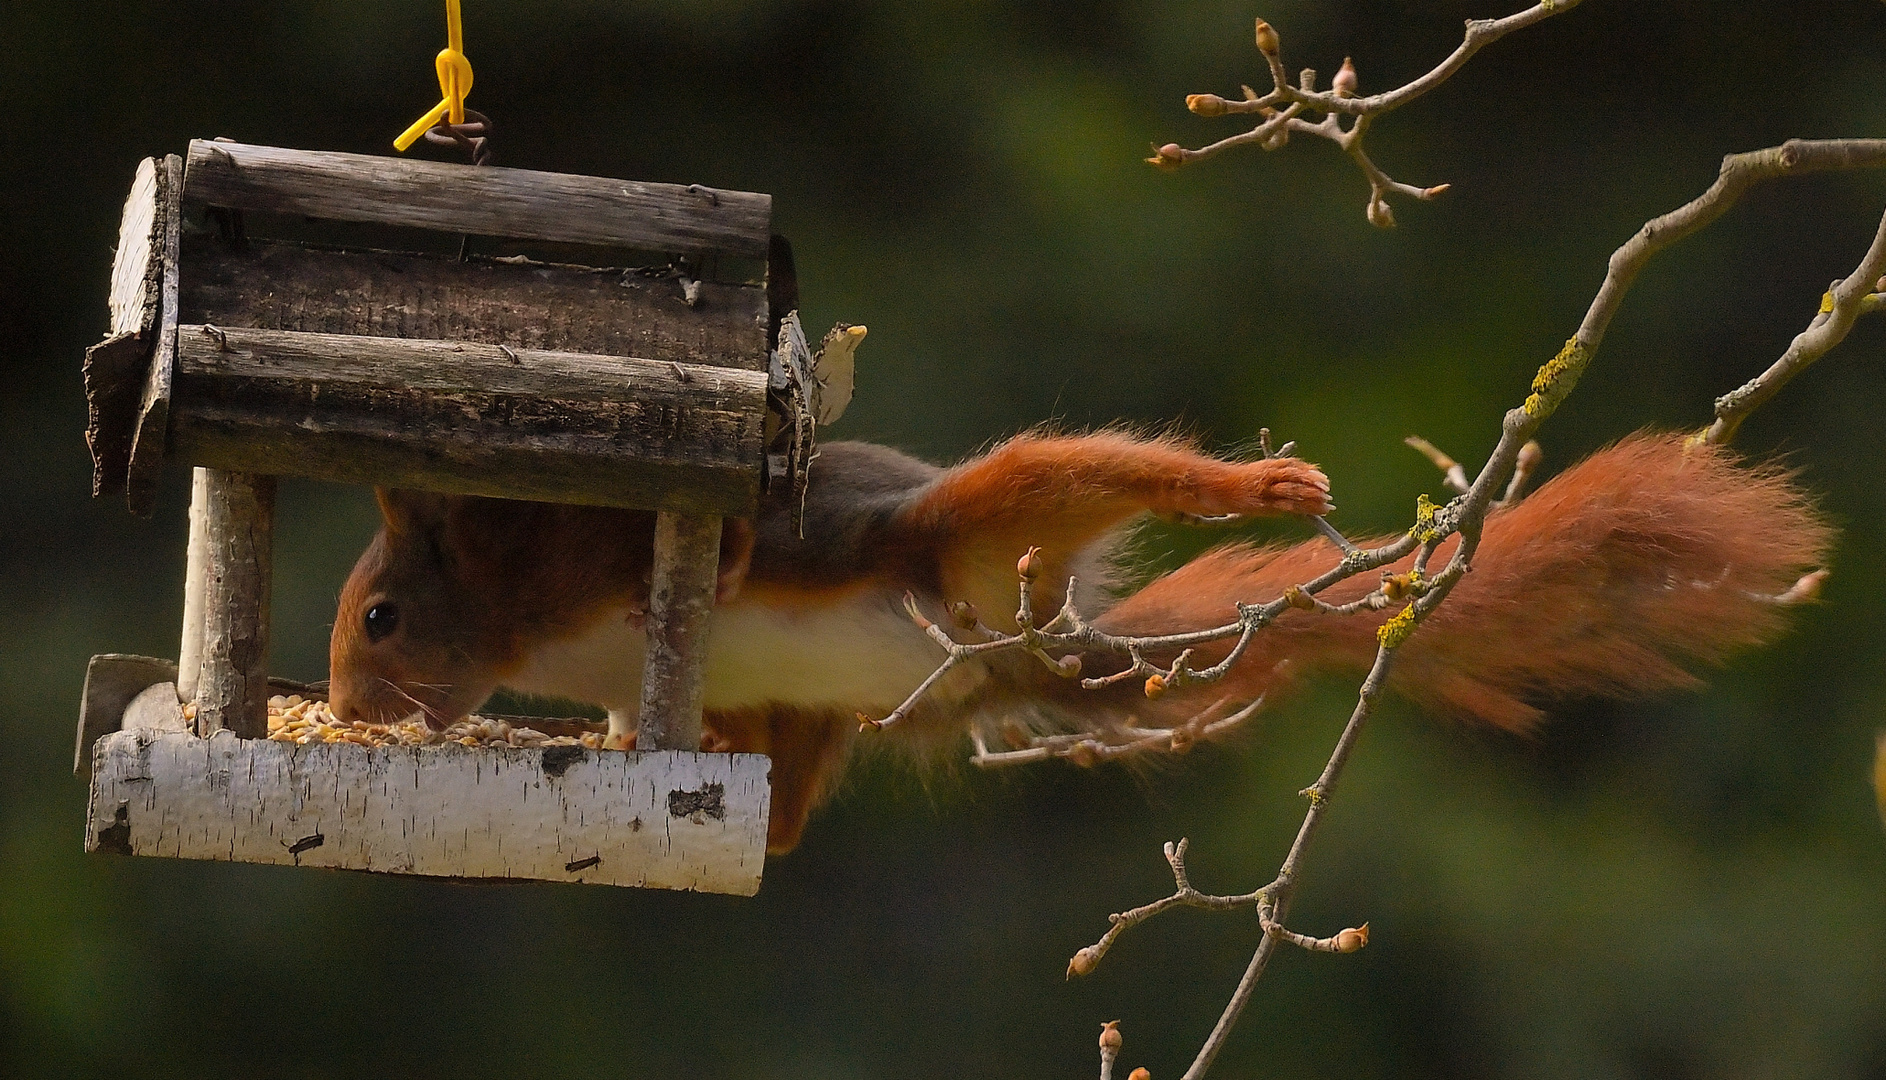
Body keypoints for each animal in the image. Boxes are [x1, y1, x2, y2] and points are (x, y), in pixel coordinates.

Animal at [324, 429, 1825, 851]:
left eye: (381, 618)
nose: (342, 701)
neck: (517, 616)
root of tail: (1032, 650)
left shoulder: (612, 532)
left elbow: (722, 541)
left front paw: (672, 599)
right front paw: (617, 732)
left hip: (951, 534)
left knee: (1083, 468)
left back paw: (1251, 487)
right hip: (820, 708)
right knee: (782, 803)